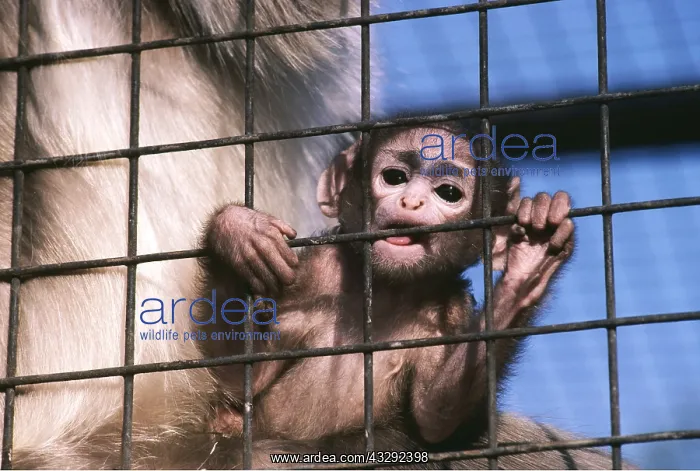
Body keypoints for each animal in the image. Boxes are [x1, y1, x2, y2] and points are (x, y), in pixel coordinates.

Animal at [197, 123, 634, 469]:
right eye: (394, 177)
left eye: (448, 192)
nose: (411, 200)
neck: (386, 291)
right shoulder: (316, 274)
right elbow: (240, 382)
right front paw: (236, 231)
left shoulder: (450, 309)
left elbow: (434, 414)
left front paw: (532, 261)